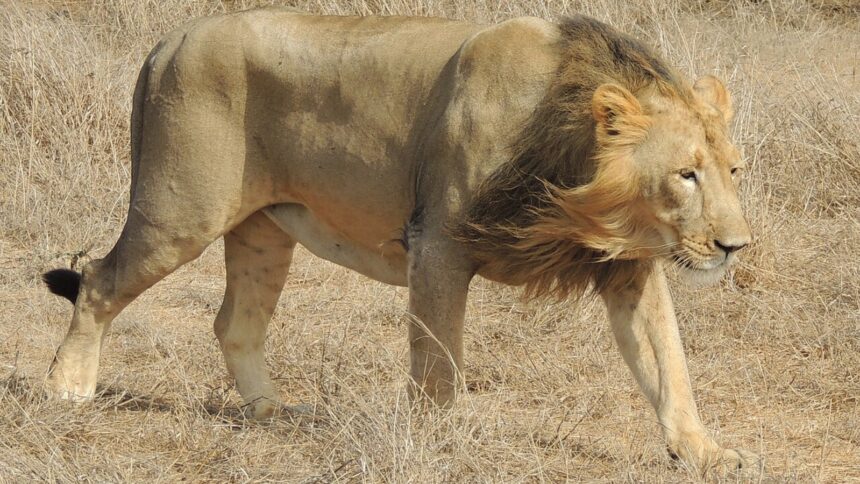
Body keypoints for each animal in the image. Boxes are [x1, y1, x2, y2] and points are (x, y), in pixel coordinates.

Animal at [42, 9, 756, 471]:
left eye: (732, 171)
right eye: (685, 174)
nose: (735, 246)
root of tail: (168, 39)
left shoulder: (630, 268)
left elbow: (670, 364)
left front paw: (704, 452)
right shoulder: (437, 242)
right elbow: (437, 363)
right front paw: (436, 445)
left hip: (262, 230)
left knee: (234, 322)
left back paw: (273, 412)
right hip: (179, 211)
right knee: (98, 280)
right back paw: (68, 388)